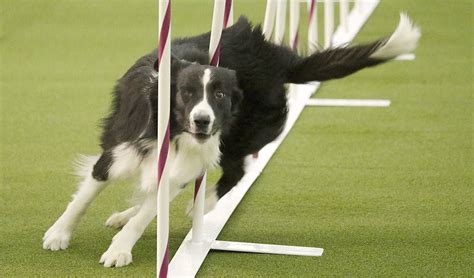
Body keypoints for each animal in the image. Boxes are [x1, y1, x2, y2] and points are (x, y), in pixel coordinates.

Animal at [43, 15, 418, 268]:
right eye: (186, 93)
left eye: (219, 95)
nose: (203, 120)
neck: (174, 132)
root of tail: (278, 60)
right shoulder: (120, 148)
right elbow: (85, 197)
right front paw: (59, 235)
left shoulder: (182, 163)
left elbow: (149, 211)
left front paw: (119, 250)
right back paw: (126, 213)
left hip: (240, 133)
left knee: (237, 171)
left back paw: (203, 203)